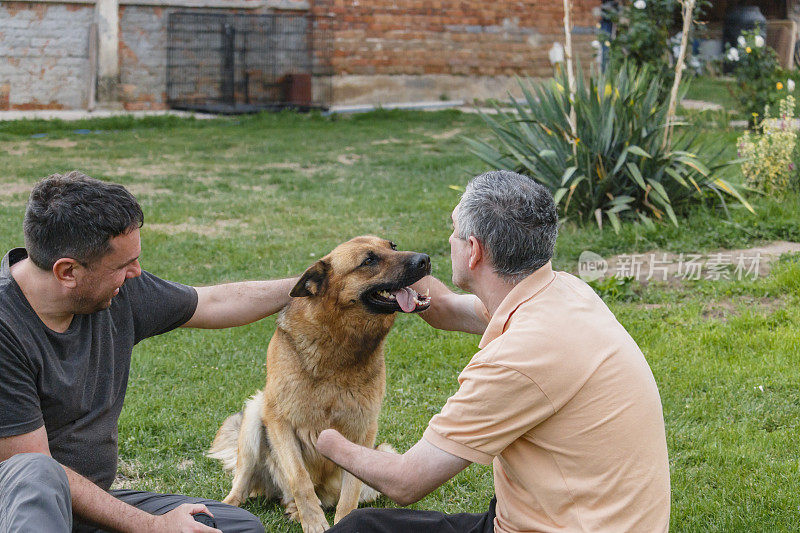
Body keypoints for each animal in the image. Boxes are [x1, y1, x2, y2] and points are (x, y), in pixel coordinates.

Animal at [206, 236, 432, 528]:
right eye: (369, 260)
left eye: (392, 246)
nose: (425, 260)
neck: (337, 345)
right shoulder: (279, 420)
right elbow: (300, 479)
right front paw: (313, 522)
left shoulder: (363, 431)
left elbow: (350, 492)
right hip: (256, 413)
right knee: (244, 484)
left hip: (385, 454)